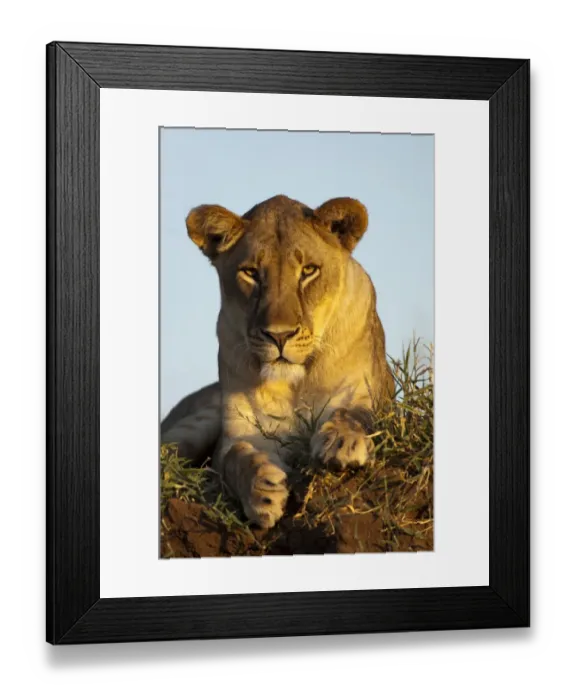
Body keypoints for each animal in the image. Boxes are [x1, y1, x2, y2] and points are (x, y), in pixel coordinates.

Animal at [161, 195, 394, 528]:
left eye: (309, 270)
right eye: (251, 273)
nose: (279, 336)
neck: (292, 384)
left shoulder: (365, 395)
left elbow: (354, 413)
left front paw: (342, 442)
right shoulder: (236, 431)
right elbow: (235, 457)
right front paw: (263, 490)